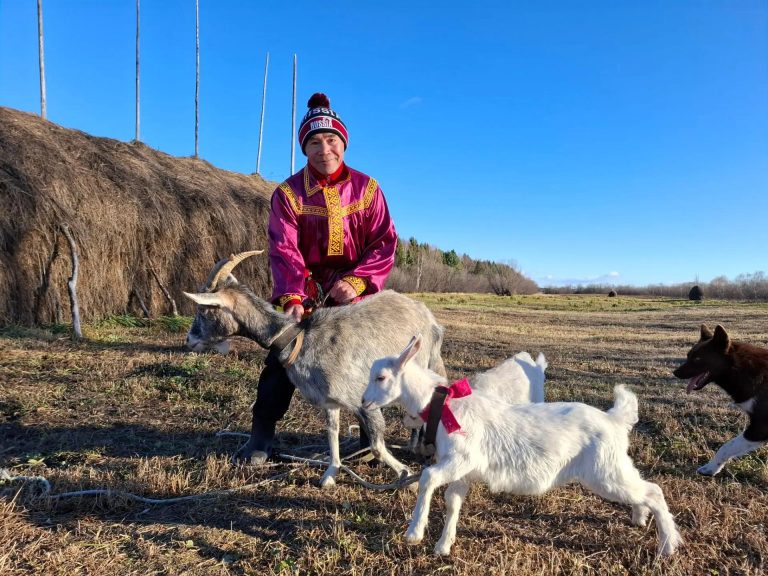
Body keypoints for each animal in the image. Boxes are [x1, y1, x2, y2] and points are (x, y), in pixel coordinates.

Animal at [183, 251, 446, 488]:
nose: (189, 340)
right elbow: (332, 433)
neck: (298, 340)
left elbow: (377, 446)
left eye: (203, 310)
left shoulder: (361, 401)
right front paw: (331, 473)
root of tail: (428, 317)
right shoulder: (329, 401)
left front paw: (406, 476)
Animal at [363, 335, 683, 557]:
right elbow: (453, 501)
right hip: (614, 468)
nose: (364, 402)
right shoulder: (461, 471)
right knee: (643, 489)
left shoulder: (461, 458)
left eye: (381, 377)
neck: (444, 406)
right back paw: (639, 517)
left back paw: (667, 545)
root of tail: (614, 420)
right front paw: (443, 546)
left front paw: (414, 532)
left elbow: (428, 478)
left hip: (605, 472)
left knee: (654, 491)